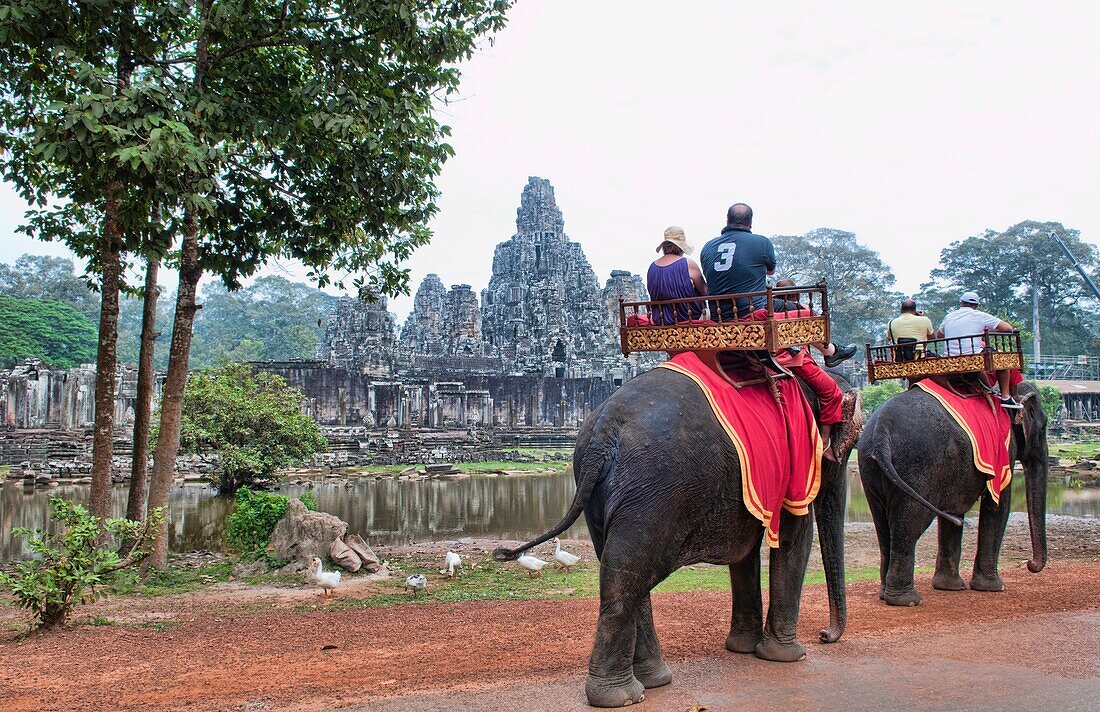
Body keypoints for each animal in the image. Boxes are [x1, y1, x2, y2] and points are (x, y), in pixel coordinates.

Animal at [495, 365, 862, 708]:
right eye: (846, 446)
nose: (824, 635)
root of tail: (603, 430)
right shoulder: (796, 459)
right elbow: (794, 535)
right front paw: (789, 655)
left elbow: (746, 551)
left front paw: (743, 648)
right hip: (653, 487)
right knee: (626, 579)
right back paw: (620, 696)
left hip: (604, 488)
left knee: (625, 570)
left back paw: (652, 680)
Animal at [858, 378, 1047, 607]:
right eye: (1045, 425)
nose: (1030, 564)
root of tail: (880, 430)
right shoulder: (1004, 450)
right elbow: (998, 505)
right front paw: (994, 588)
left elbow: (955, 510)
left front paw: (950, 587)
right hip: (917, 469)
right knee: (909, 525)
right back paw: (907, 601)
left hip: (869, 467)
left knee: (883, 525)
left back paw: (885, 595)